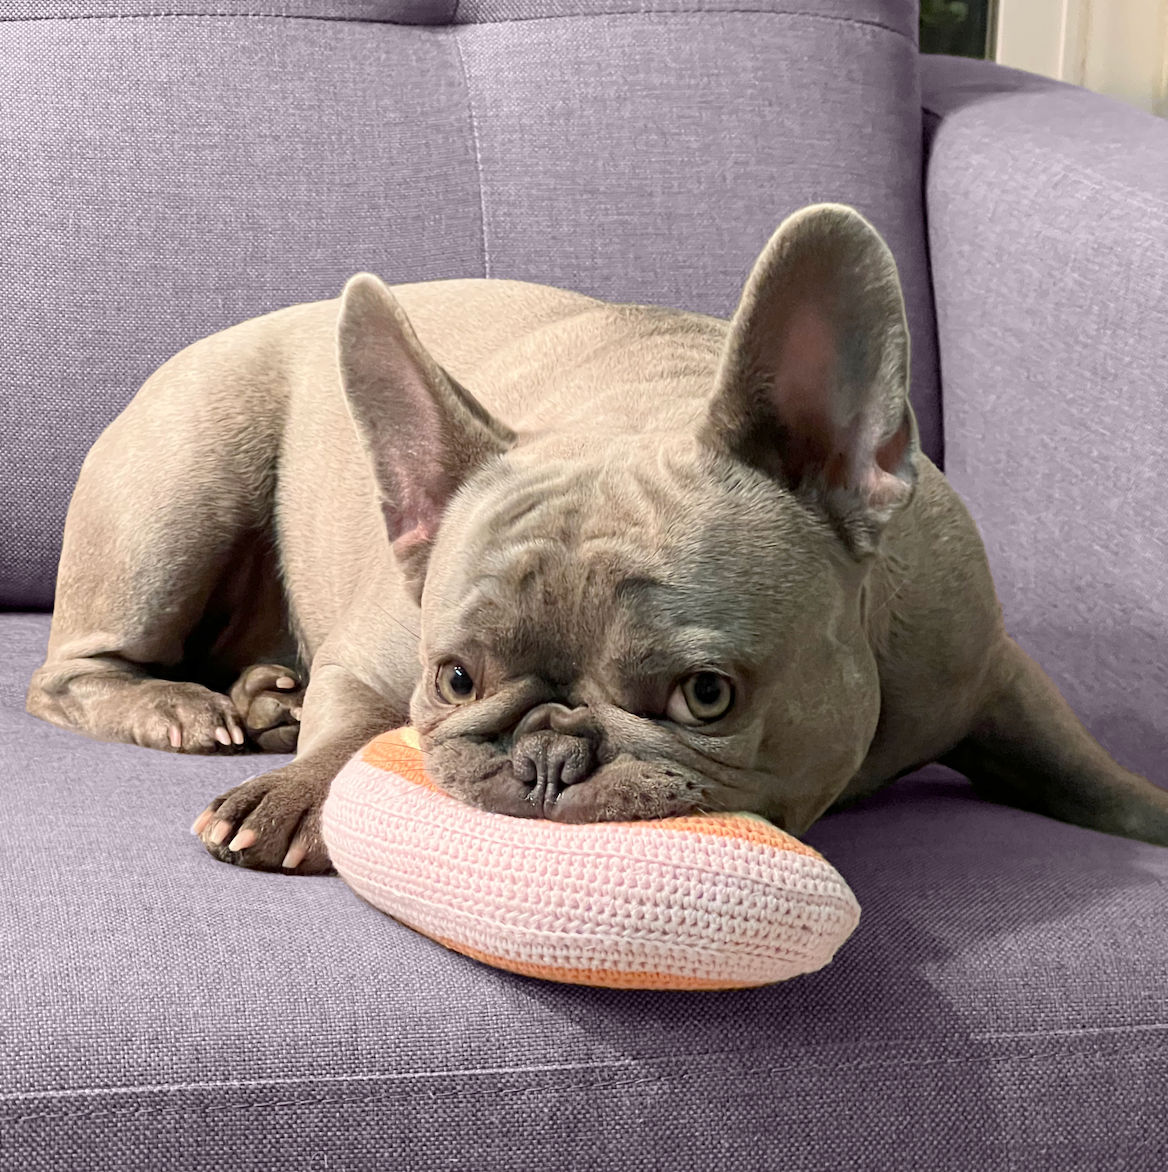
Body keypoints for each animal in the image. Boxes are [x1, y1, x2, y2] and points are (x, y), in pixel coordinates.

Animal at [27, 206, 1166, 876]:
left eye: (707, 696)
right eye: (452, 677)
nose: (545, 756)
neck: (643, 401)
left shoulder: (988, 668)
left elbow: (1084, 768)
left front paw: (1149, 810)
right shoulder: (371, 653)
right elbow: (352, 730)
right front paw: (301, 795)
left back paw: (265, 695)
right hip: (181, 486)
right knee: (72, 672)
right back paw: (189, 708)